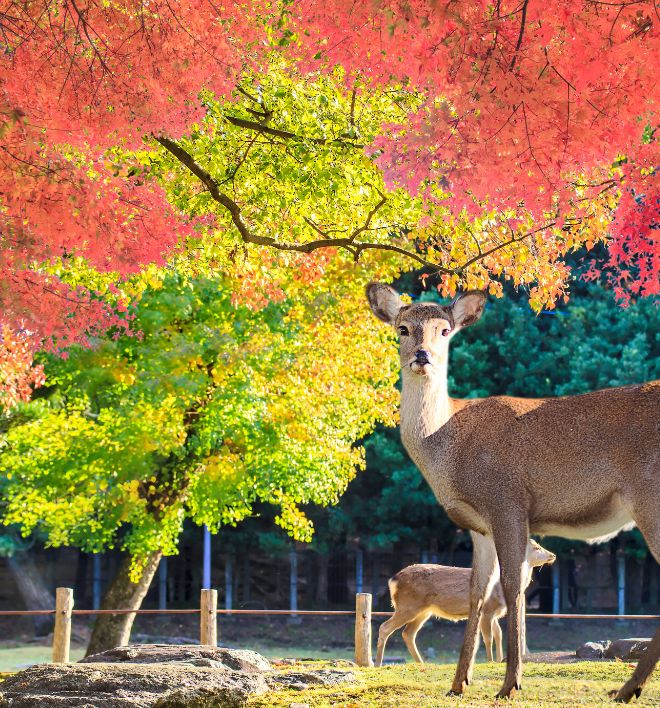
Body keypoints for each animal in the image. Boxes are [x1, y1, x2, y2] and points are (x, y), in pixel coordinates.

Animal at [366, 284, 660, 704]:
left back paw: (628, 688)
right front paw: (458, 682)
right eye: (403, 328)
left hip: (648, 497)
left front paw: (510, 684)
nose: (422, 355)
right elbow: (477, 591)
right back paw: (627, 688)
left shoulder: (506, 501)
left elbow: (511, 586)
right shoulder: (478, 525)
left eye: (445, 330)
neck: (447, 448)